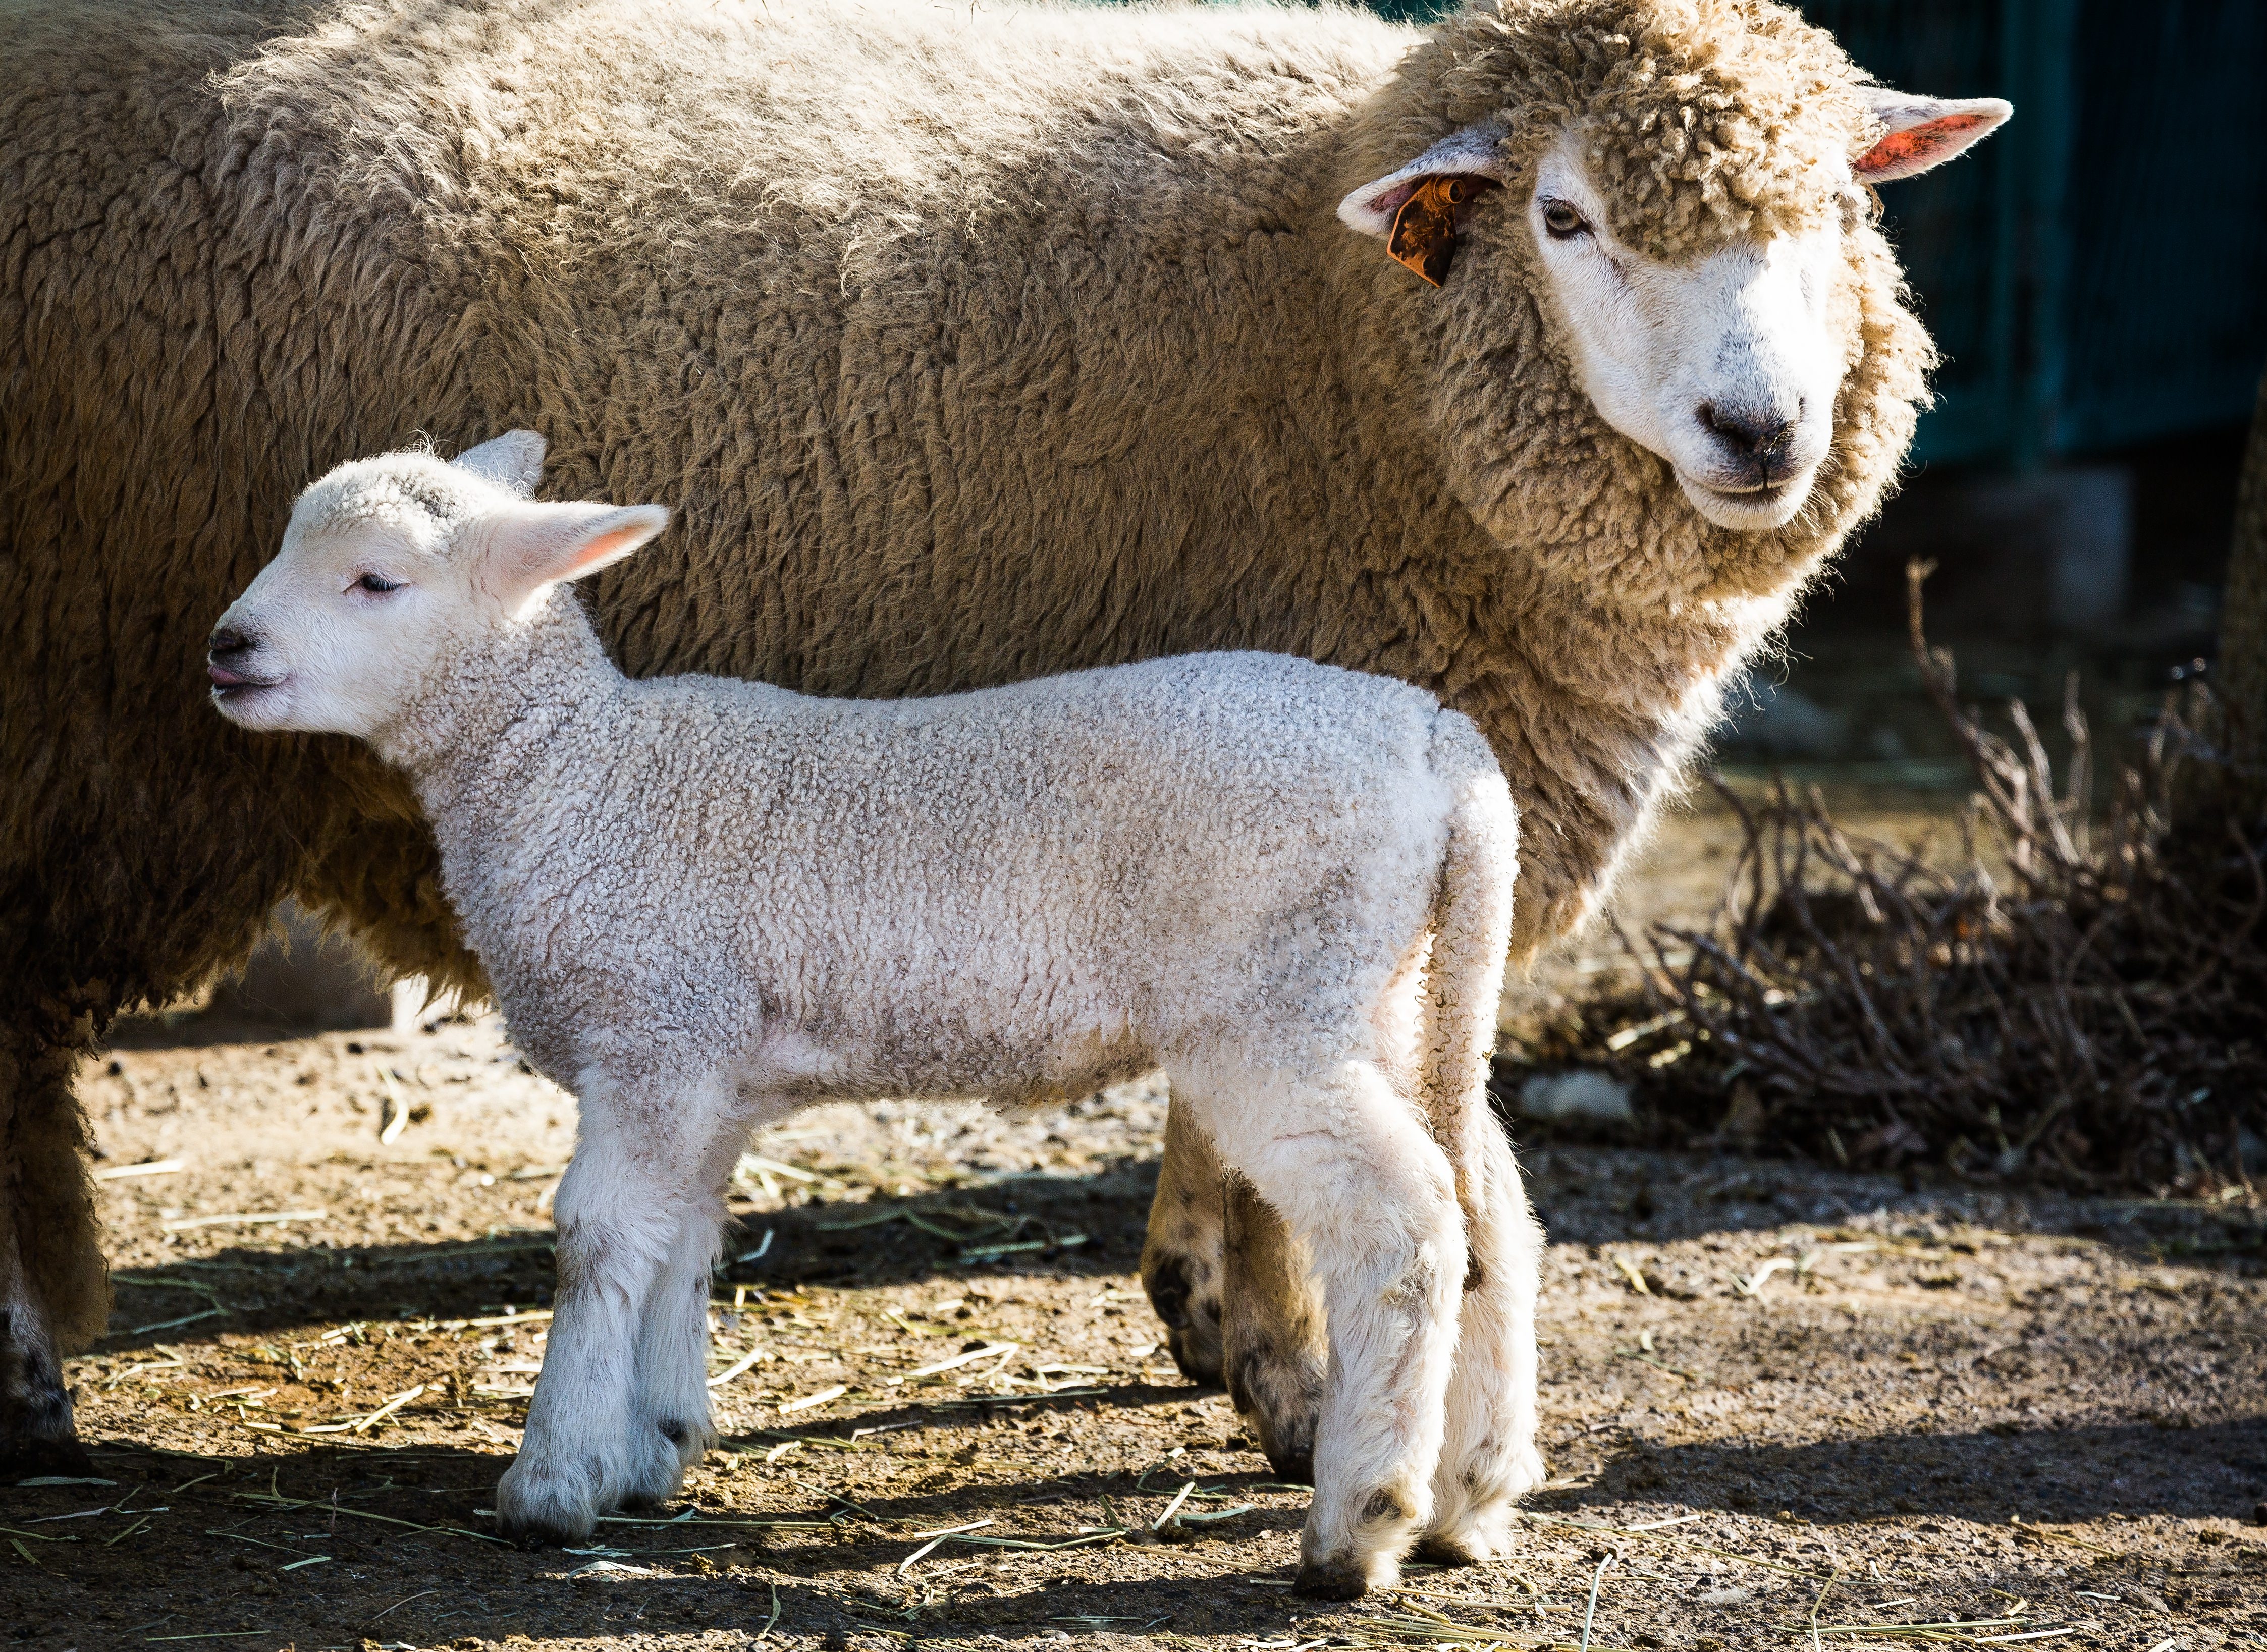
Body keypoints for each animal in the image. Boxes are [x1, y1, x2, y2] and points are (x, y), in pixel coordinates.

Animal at [208, 432, 1541, 1595]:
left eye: (376, 579)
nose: (226, 645)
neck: (574, 773)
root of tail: (1443, 746)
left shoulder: (647, 1031)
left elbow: (595, 1238)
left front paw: (552, 1481)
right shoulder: (703, 1065)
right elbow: (680, 1238)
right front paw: (655, 1444)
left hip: (1273, 1005)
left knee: (1404, 1220)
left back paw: (1357, 1525)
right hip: (1393, 988)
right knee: (1491, 1204)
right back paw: (1469, 1495)